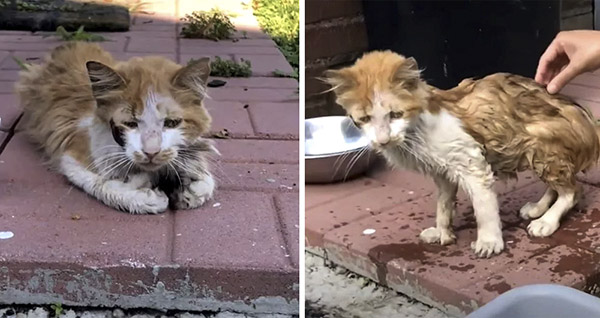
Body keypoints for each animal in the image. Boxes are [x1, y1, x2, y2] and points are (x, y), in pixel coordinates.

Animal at [15, 42, 218, 215]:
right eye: (130, 124)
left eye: (171, 123)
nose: (151, 152)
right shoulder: (71, 154)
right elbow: (100, 183)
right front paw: (144, 194)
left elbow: (206, 181)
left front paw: (192, 187)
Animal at [324, 50, 600, 258]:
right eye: (364, 119)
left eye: (395, 115)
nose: (383, 140)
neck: (414, 135)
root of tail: (587, 120)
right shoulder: (442, 174)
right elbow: (443, 206)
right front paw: (441, 232)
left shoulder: (472, 164)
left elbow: (484, 208)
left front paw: (489, 241)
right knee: (560, 186)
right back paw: (538, 209)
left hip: (543, 146)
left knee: (573, 191)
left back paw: (546, 222)